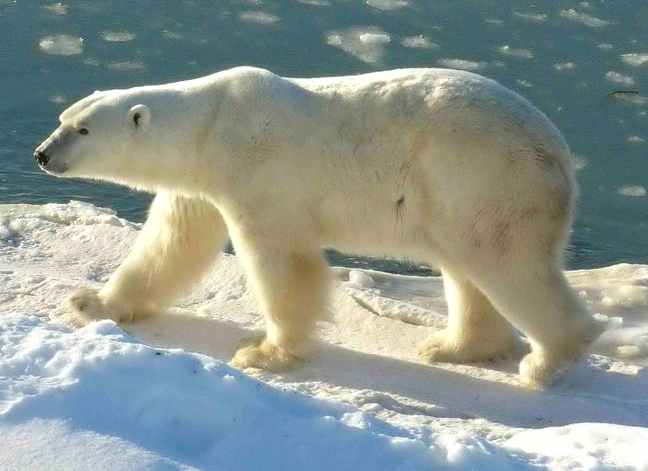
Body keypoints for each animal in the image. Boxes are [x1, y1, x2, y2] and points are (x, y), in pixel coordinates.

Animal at [35, 67, 600, 390]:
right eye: (62, 118)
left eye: (83, 129)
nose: (42, 154)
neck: (212, 123)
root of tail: (561, 153)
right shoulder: (200, 185)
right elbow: (171, 243)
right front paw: (91, 303)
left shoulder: (259, 173)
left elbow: (281, 262)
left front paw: (266, 353)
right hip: (457, 196)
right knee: (466, 268)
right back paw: (454, 347)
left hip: (486, 179)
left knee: (505, 263)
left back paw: (547, 362)